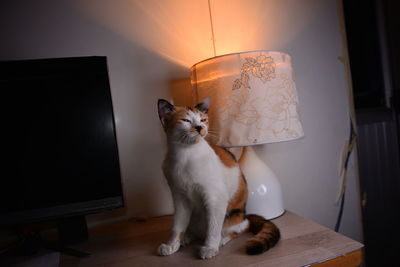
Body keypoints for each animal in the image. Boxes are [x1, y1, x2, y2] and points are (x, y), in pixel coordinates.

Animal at [155, 98, 280, 260]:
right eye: (186, 120)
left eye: (203, 120)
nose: (200, 127)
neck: (185, 156)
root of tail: (245, 213)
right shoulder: (179, 197)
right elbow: (177, 226)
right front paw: (171, 245)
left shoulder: (215, 198)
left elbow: (213, 227)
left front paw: (210, 247)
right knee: (192, 229)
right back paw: (186, 238)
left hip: (233, 216)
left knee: (239, 228)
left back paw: (221, 240)